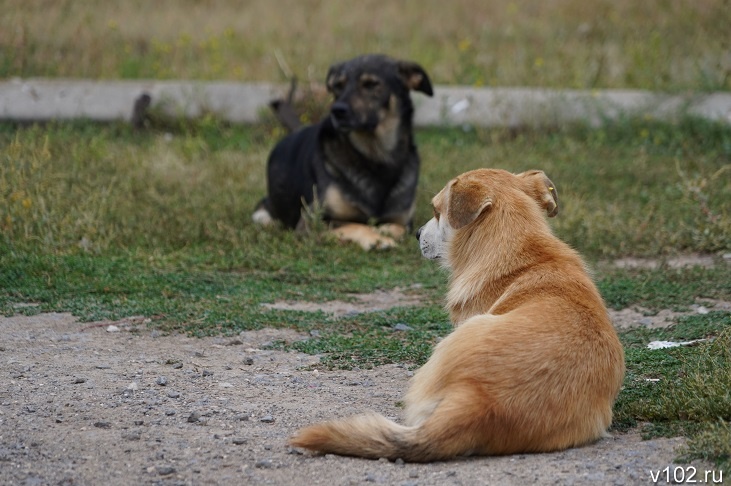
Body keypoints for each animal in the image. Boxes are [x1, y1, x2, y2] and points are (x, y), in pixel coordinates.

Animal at [253, 55, 432, 249]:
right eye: (338, 85)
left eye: (371, 84)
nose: (337, 110)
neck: (375, 157)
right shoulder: (311, 221)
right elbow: (354, 224)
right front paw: (376, 238)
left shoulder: (404, 221)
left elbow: (395, 227)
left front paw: (382, 230)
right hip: (264, 214)